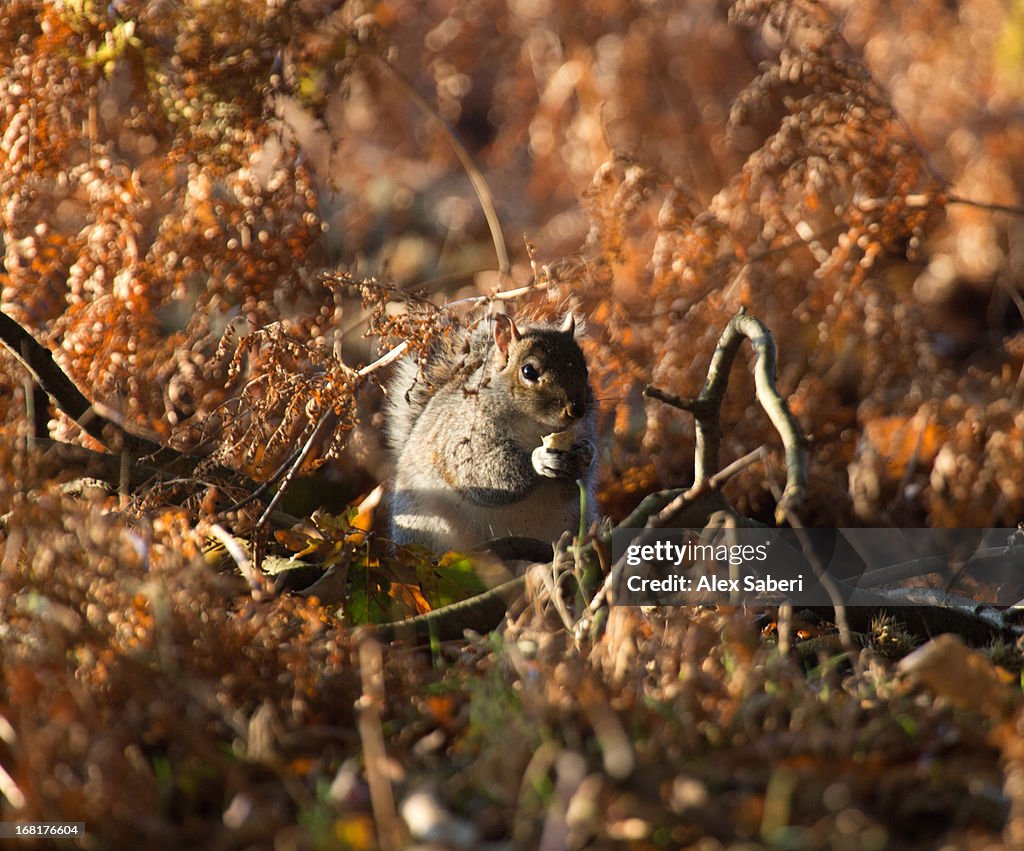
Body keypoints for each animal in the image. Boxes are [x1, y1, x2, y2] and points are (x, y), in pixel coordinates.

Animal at [385, 311, 598, 552]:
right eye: (528, 371)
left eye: (585, 370)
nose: (576, 410)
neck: (535, 427)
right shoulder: (463, 440)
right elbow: (479, 472)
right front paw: (539, 459)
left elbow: (576, 487)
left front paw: (586, 455)